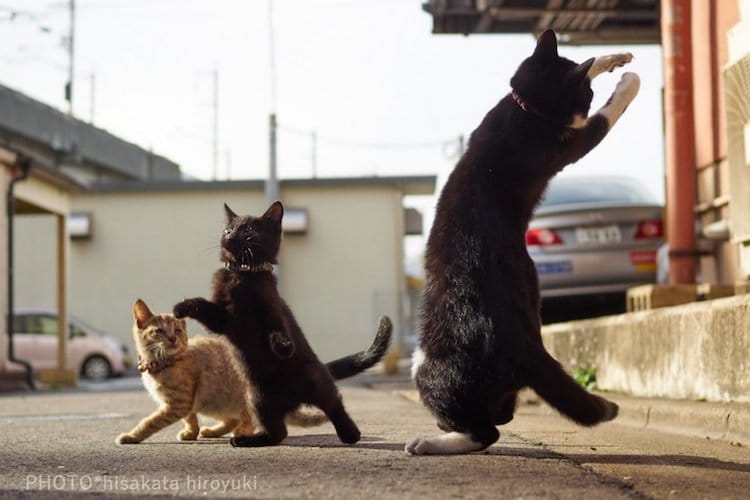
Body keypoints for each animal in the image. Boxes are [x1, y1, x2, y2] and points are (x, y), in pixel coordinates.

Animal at [116, 298, 324, 444]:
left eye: (177, 331)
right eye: (159, 331)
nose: (173, 339)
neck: (165, 363)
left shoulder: (179, 402)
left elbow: (151, 421)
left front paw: (131, 436)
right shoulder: (187, 402)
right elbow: (190, 418)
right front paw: (191, 432)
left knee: (246, 419)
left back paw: (242, 432)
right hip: (213, 401)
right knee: (231, 419)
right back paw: (212, 431)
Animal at [408, 29, 644, 456]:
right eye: (585, 95)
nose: (588, 96)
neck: (525, 109)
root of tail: (524, 344)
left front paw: (612, 59)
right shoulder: (572, 141)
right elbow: (605, 116)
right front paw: (625, 80)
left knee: (493, 425)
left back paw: (439, 435)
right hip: (431, 365)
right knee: (488, 429)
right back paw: (433, 441)